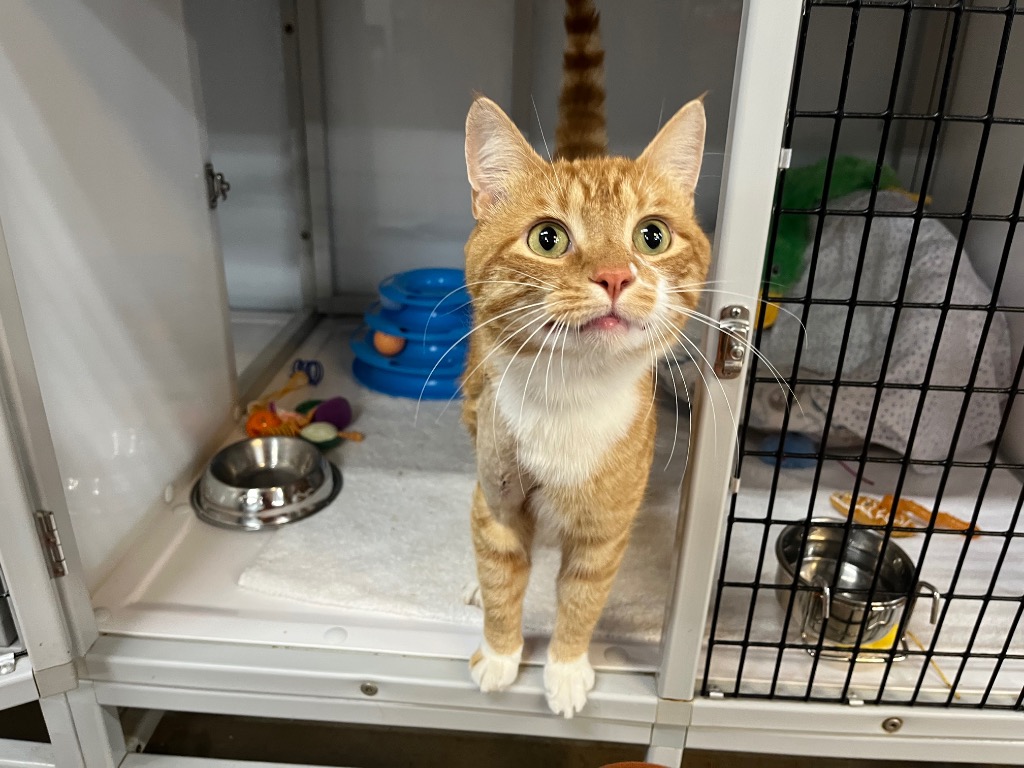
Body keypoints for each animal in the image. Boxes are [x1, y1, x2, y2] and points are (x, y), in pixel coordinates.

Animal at [461, 0, 710, 718]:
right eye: (548, 238)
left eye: (651, 236)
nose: (615, 275)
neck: (567, 398)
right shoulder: (498, 498)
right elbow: (501, 578)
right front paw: (500, 653)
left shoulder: (604, 530)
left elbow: (582, 599)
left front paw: (566, 669)